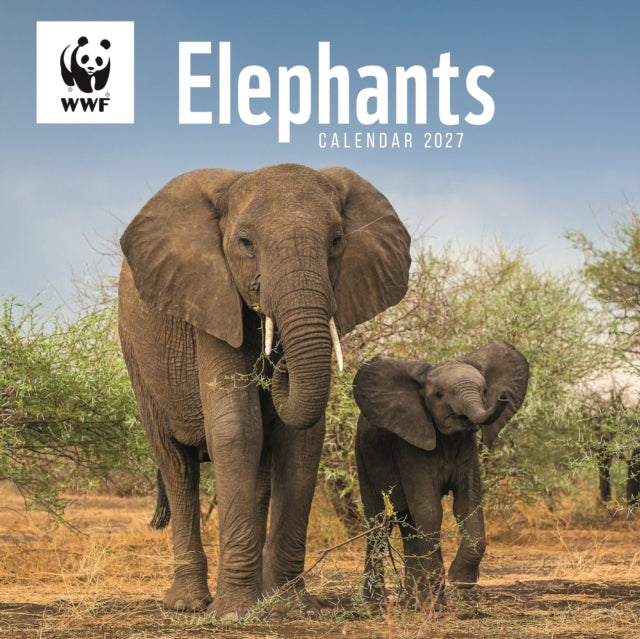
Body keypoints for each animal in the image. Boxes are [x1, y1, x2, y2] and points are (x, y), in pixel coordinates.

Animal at [117, 163, 411, 618]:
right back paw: (188, 603)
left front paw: (292, 608)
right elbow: (237, 428)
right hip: (138, 360)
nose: (276, 367)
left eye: (336, 241)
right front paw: (234, 614)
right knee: (176, 464)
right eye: (245, 242)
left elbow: (301, 440)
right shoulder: (211, 299)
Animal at [353, 341, 529, 608]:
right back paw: (376, 606)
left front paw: (460, 582)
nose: (502, 396)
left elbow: (467, 506)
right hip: (362, 456)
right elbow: (431, 510)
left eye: (485, 390)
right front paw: (438, 596)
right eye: (438, 395)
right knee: (378, 523)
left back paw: (411, 603)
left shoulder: (468, 448)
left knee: (407, 522)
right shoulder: (410, 447)